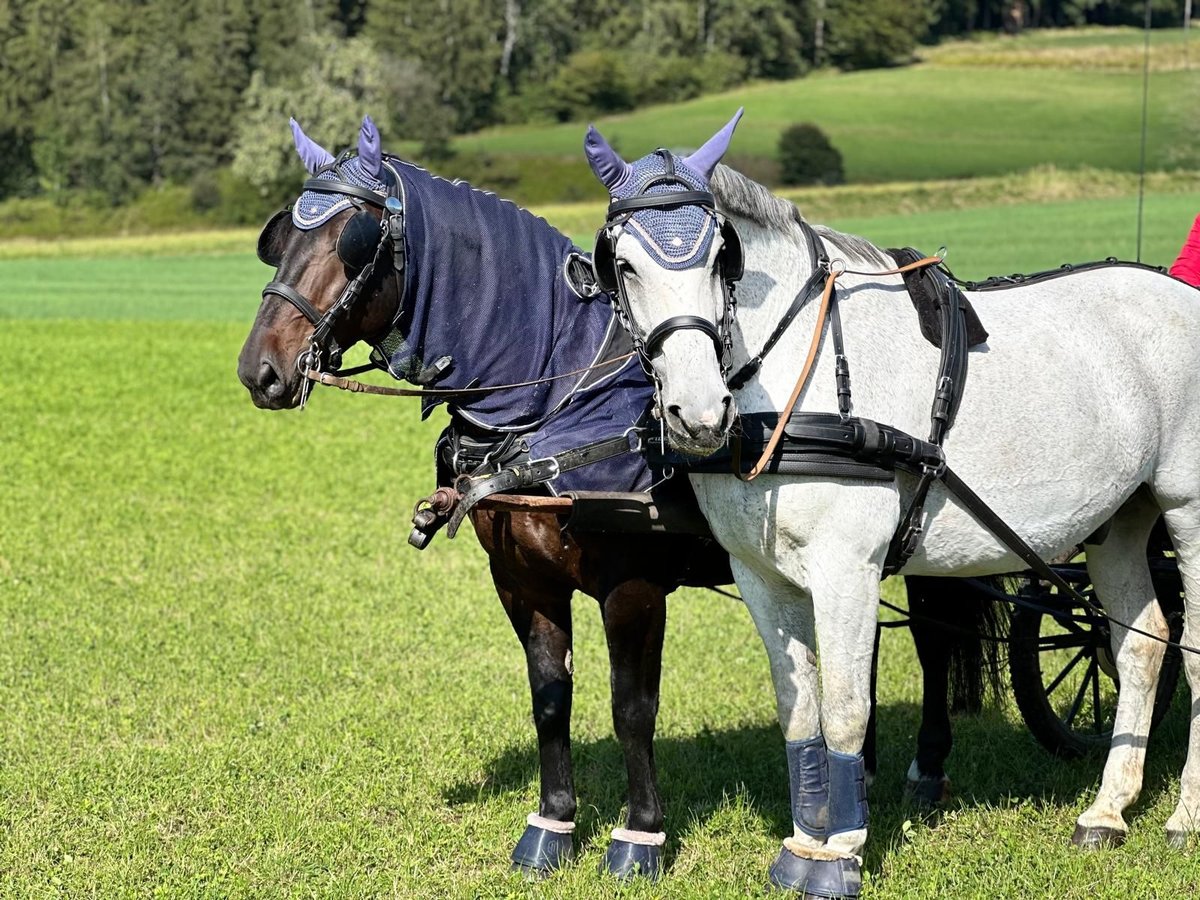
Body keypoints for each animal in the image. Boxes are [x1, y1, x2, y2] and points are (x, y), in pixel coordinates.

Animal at [234, 116, 1003, 883]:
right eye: (281, 237)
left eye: (353, 241)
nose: (259, 370)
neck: (553, 404)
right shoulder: (522, 581)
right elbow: (550, 698)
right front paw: (552, 824)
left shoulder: (631, 586)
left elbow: (632, 707)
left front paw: (640, 836)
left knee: (934, 642)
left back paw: (924, 770)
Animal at [583, 114, 1200, 897]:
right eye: (623, 265)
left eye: (722, 259)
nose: (697, 412)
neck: (794, 378)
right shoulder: (761, 576)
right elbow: (800, 714)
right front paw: (799, 845)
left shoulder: (846, 568)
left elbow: (847, 711)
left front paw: (839, 856)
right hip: (1119, 521)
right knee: (1141, 641)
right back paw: (1108, 811)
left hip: (1188, 508)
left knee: (1191, 649)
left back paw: (1183, 816)